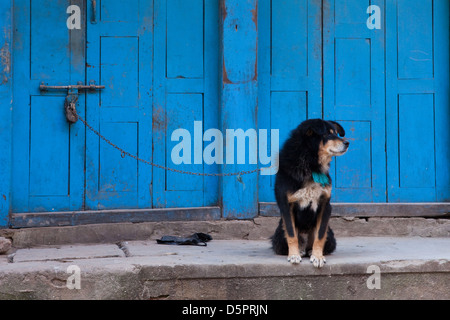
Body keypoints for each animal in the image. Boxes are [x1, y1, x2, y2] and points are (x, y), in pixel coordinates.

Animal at [268, 118, 350, 268]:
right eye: (327, 134)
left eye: (336, 133)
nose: (347, 143)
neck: (310, 165)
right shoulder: (287, 205)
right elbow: (291, 233)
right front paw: (293, 255)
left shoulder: (325, 205)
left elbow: (320, 235)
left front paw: (317, 256)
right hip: (279, 236)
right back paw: (300, 251)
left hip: (331, 236)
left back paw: (310, 251)